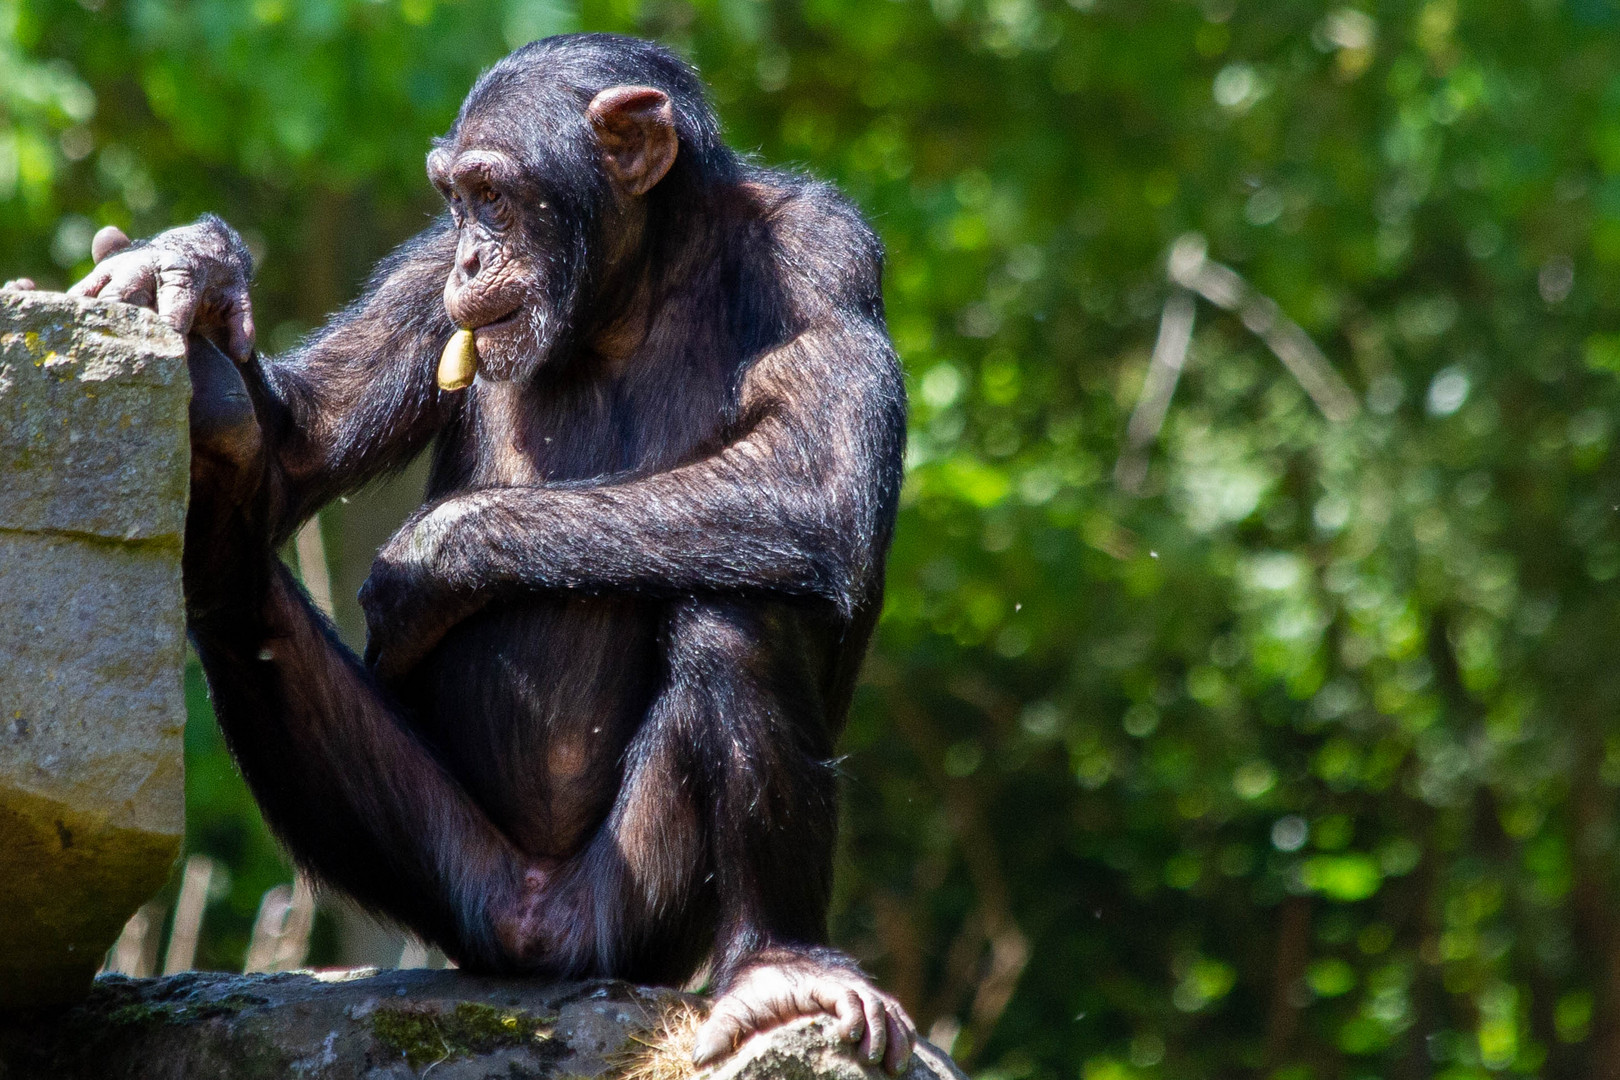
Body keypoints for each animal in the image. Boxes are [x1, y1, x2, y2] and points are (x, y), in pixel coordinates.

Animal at [50, 31, 920, 1075]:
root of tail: (537, 941)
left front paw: (427, 562)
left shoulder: (827, 251)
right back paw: (216, 407)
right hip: (453, 875)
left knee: (748, 600)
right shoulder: (425, 277)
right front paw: (189, 269)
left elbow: (820, 483)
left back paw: (780, 969)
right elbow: (298, 452)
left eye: (497, 194)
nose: (473, 251)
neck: (631, 286)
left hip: (640, 914)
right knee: (231, 577)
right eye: (457, 200)